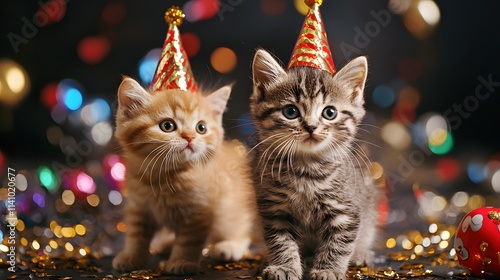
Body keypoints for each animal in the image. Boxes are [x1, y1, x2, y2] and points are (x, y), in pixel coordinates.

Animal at [111, 77, 256, 274]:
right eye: (167, 125)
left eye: (201, 128)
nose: (189, 137)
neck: (162, 177)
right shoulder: (138, 206)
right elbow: (136, 234)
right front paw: (131, 257)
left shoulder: (199, 212)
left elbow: (189, 241)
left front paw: (182, 262)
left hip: (230, 208)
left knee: (240, 228)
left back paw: (229, 247)